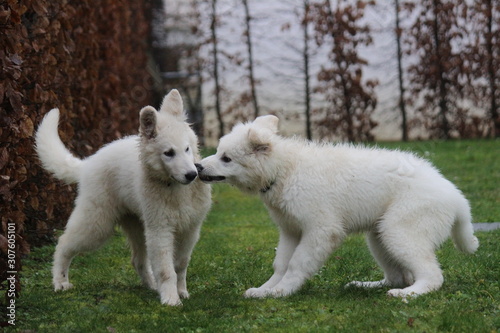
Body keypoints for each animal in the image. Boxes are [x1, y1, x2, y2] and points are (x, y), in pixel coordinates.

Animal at [34, 89, 211, 304]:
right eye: (168, 153)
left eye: (187, 149)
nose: (192, 175)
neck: (175, 187)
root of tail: (88, 163)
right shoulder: (160, 230)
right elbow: (166, 269)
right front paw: (170, 299)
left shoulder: (190, 229)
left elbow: (180, 264)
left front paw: (181, 291)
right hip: (97, 224)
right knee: (63, 243)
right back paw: (60, 281)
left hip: (136, 226)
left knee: (138, 260)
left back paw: (152, 285)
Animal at [197, 115, 478, 298]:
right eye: (219, 153)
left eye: (226, 158)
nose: (198, 167)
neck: (285, 170)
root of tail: (456, 196)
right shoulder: (290, 230)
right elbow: (281, 264)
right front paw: (266, 290)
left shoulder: (321, 229)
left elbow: (297, 263)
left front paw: (282, 291)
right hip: (378, 235)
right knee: (399, 275)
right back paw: (368, 286)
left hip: (399, 229)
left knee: (431, 274)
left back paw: (408, 294)